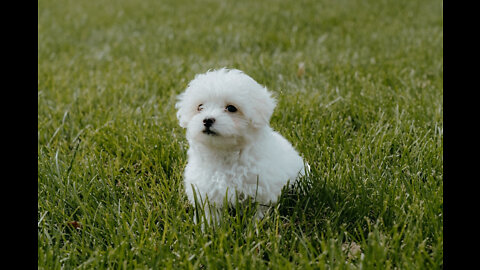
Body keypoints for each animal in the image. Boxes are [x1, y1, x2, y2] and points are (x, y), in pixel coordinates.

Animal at [176, 68, 308, 224]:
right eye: (200, 107)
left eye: (231, 108)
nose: (207, 120)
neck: (225, 153)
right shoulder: (206, 191)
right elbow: (211, 213)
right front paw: (210, 226)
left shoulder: (260, 190)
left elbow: (259, 211)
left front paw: (256, 225)